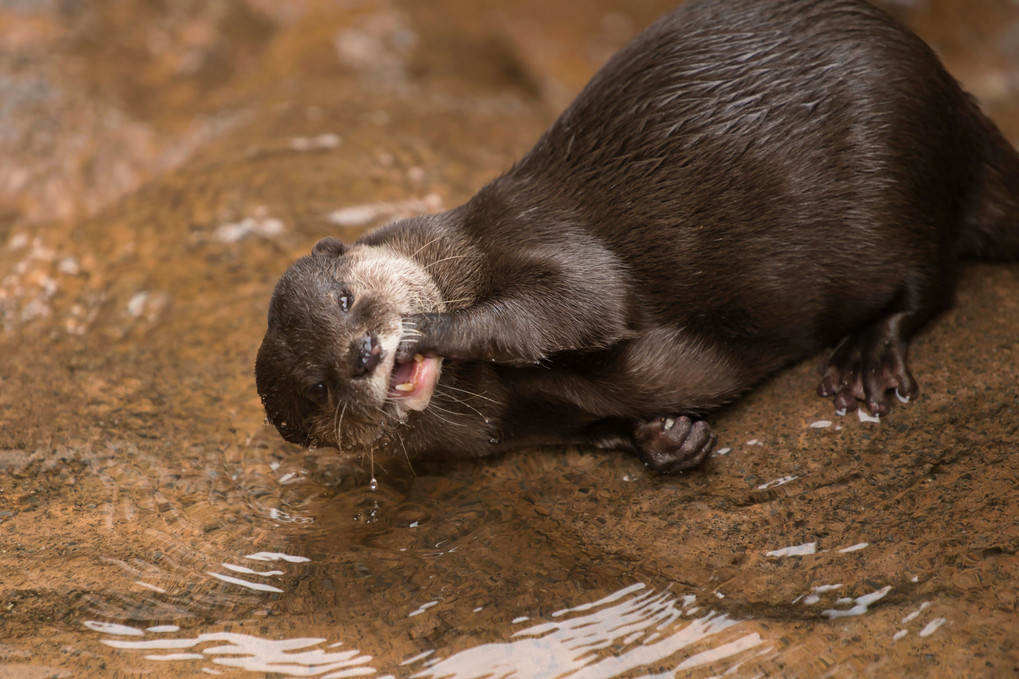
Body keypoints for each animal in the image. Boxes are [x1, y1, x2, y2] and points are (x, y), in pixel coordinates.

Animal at [254, 0, 1019, 471]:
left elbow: (583, 300)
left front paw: (435, 329)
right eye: (317, 387)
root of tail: (956, 100)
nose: (361, 353)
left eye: (347, 299)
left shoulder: (535, 233)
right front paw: (666, 436)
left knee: (931, 279)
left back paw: (865, 356)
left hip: (902, 165)